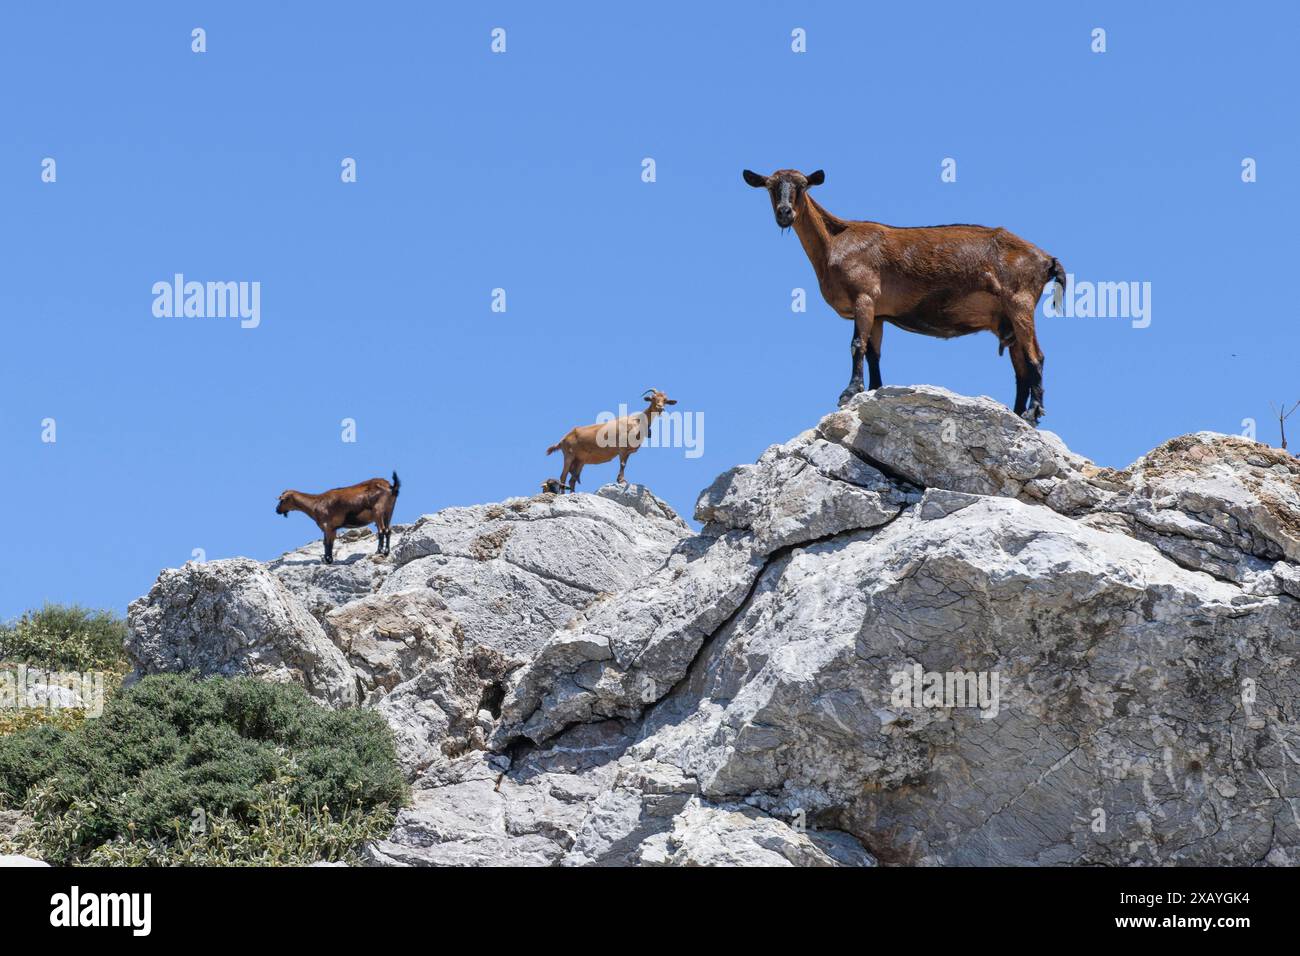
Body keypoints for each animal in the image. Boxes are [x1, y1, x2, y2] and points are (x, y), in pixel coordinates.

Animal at [546, 390, 677, 492]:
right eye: (653, 398)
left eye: (665, 400)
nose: (660, 408)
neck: (637, 422)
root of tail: (563, 439)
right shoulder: (622, 448)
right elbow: (623, 464)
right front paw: (621, 480)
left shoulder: (628, 451)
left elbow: (625, 464)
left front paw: (621, 479)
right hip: (569, 455)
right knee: (563, 476)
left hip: (580, 460)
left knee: (572, 479)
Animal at [743, 168, 1065, 424]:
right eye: (771, 186)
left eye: (802, 186)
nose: (784, 213)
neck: (834, 243)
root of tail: (1047, 260)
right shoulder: (879, 312)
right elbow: (873, 352)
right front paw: (873, 389)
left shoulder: (864, 296)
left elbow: (856, 345)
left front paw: (849, 392)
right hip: (1006, 319)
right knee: (1020, 366)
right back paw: (1017, 413)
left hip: (1020, 302)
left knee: (1036, 357)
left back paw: (1033, 412)